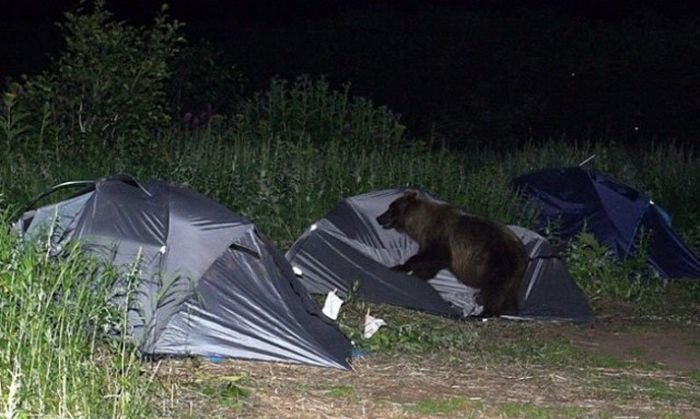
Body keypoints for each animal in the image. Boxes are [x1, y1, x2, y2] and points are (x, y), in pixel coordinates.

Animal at [378, 189, 524, 316]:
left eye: (392, 208)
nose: (378, 218)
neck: (423, 224)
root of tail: (522, 251)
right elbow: (431, 264)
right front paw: (417, 274)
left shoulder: (441, 237)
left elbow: (429, 258)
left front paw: (400, 267)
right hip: (512, 273)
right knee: (508, 292)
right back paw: (509, 310)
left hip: (497, 261)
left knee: (494, 289)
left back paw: (485, 312)